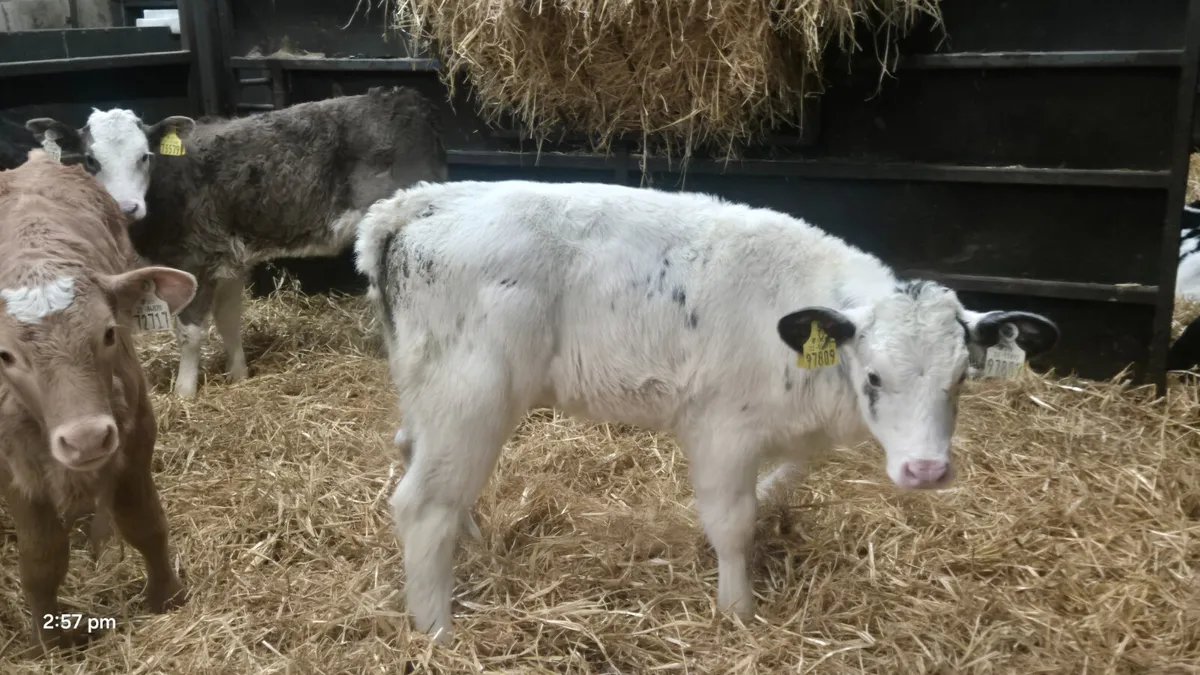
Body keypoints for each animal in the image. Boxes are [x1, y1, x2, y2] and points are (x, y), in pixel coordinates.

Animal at [0, 150, 196, 654]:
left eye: (109, 333)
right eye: (5, 355)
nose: (87, 439)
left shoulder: (136, 436)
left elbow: (144, 522)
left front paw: (165, 596)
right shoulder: (12, 466)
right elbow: (41, 556)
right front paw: (49, 638)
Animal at [24, 85, 448, 397]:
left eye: (144, 156)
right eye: (91, 161)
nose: (126, 206)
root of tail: (402, 97)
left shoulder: (193, 260)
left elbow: (190, 331)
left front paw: (184, 392)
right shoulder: (226, 259)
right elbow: (229, 320)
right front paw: (239, 375)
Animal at [353, 179, 1061, 643]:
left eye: (961, 378)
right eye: (874, 376)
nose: (926, 471)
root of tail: (416, 202)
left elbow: (787, 478)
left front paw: (775, 499)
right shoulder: (723, 429)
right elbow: (732, 524)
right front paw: (737, 608)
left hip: (428, 393)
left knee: (411, 452)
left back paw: (469, 542)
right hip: (471, 396)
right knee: (421, 504)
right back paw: (437, 630)